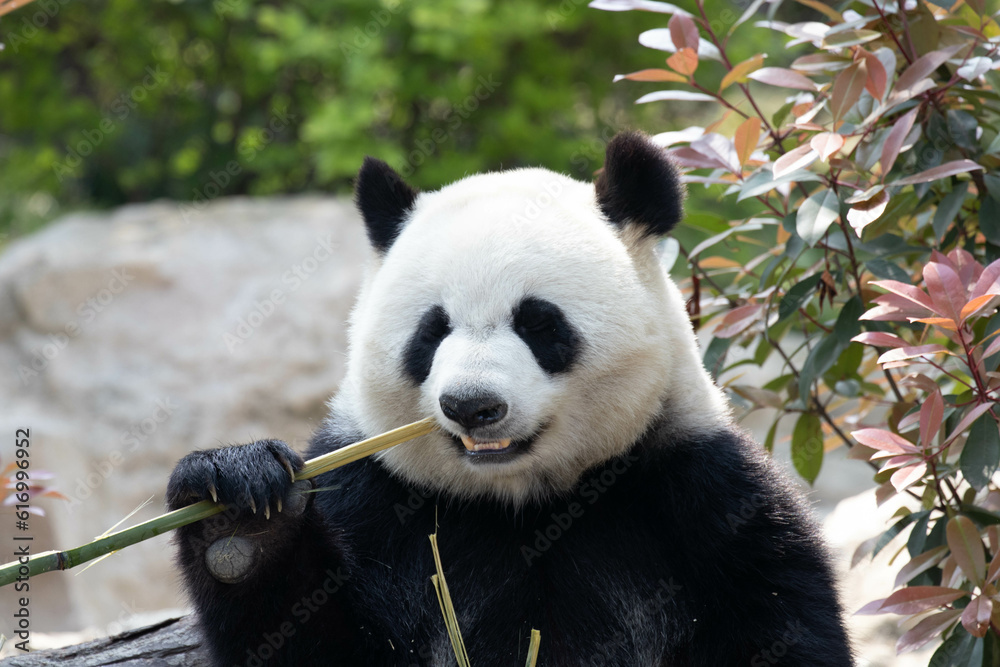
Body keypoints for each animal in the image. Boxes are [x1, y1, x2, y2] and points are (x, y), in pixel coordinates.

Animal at [166, 131, 853, 666]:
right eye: (431, 331)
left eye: (539, 323)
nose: (472, 405)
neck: (520, 502)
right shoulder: (372, 501)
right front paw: (237, 511)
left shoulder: (704, 499)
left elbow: (779, 625)